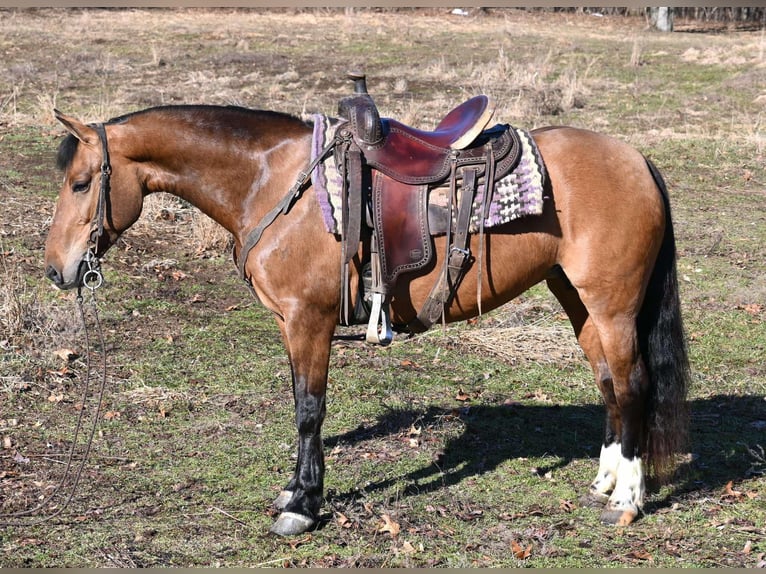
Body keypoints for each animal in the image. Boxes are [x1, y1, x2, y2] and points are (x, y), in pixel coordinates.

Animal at [40, 79, 688, 536]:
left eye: (80, 183)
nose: (56, 269)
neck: (271, 182)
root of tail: (637, 159)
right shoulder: (292, 324)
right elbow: (301, 405)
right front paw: (296, 492)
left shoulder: (308, 321)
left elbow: (309, 411)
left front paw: (302, 506)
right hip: (577, 299)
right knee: (608, 382)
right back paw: (605, 480)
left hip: (612, 305)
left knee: (633, 384)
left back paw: (627, 501)